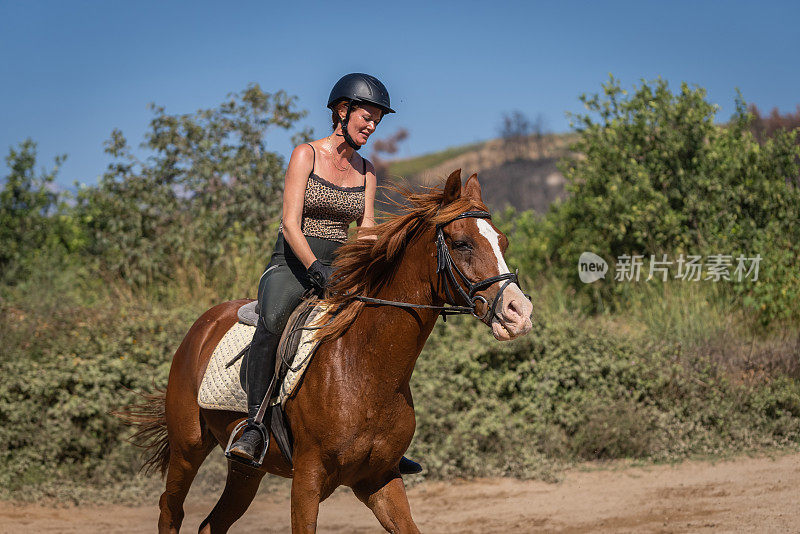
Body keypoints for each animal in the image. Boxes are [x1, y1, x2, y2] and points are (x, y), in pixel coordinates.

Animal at [131, 171, 532, 532]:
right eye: (462, 243)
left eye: (503, 242)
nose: (520, 312)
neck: (367, 368)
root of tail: (203, 325)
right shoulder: (307, 480)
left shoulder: (379, 479)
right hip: (188, 448)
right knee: (170, 510)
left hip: (247, 470)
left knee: (212, 523)